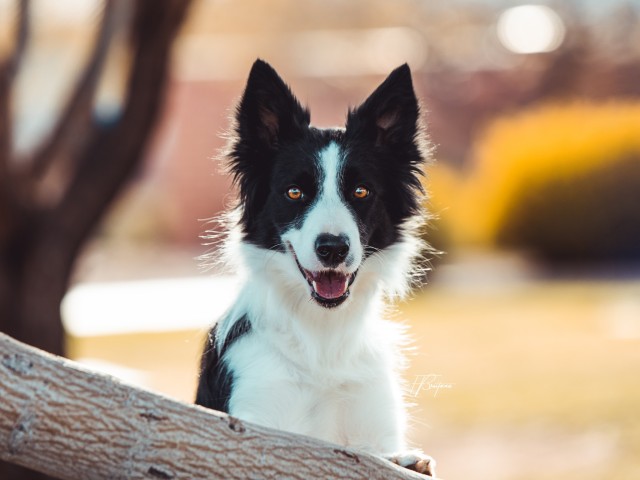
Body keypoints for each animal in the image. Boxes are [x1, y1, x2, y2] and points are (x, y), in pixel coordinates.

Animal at [195, 60, 436, 476]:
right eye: (295, 192)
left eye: (361, 191)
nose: (333, 248)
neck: (322, 340)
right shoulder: (253, 421)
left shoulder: (373, 427)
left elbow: (386, 455)